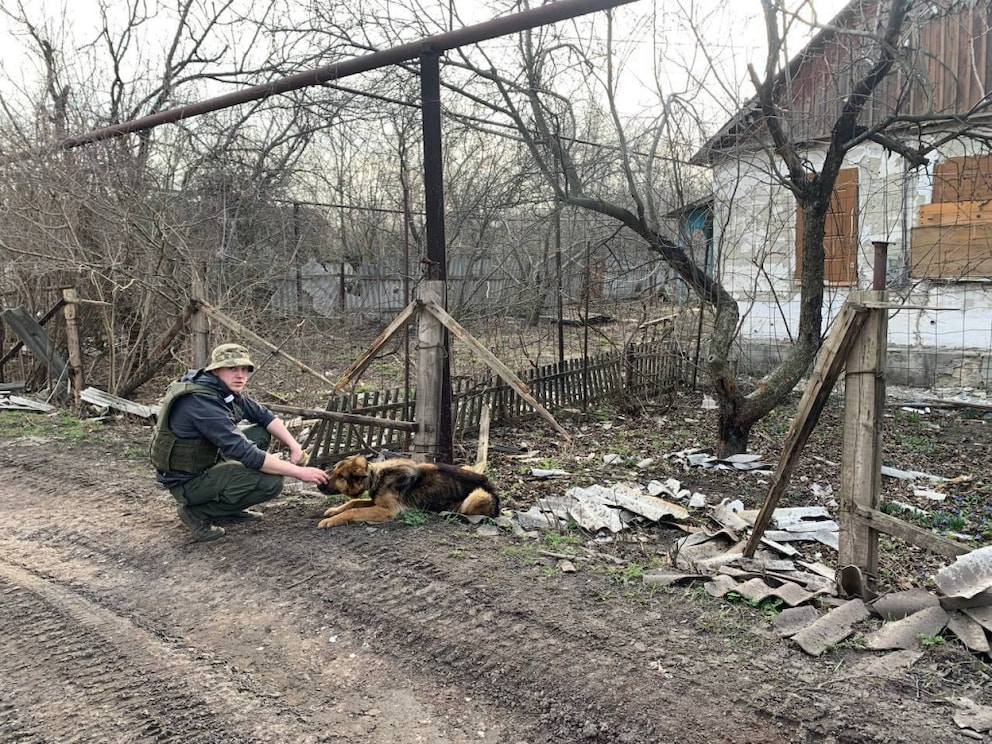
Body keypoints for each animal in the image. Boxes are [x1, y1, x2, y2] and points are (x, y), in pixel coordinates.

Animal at [318, 454, 500, 528]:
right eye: (334, 471)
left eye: (340, 476)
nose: (319, 485)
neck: (375, 475)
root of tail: (492, 486)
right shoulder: (375, 501)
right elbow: (354, 502)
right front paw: (334, 510)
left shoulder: (387, 510)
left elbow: (354, 510)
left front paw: (332, 520)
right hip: (467, 466)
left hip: (478, 495)